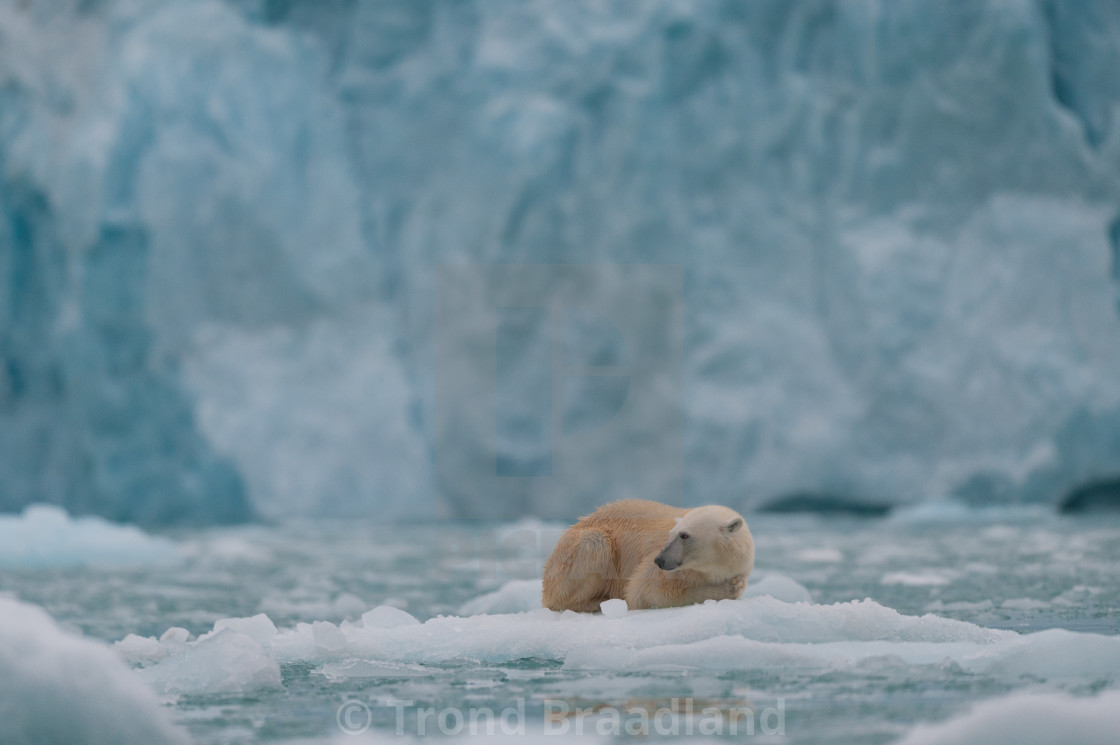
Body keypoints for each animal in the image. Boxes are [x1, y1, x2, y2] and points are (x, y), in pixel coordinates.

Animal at [539, 499, 752, 609]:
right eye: (672, 533)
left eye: (684, 535)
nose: (660, 560)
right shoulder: (669, 572)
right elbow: (644, 591)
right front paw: (728, 589)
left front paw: (734, 586)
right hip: (573, 554)